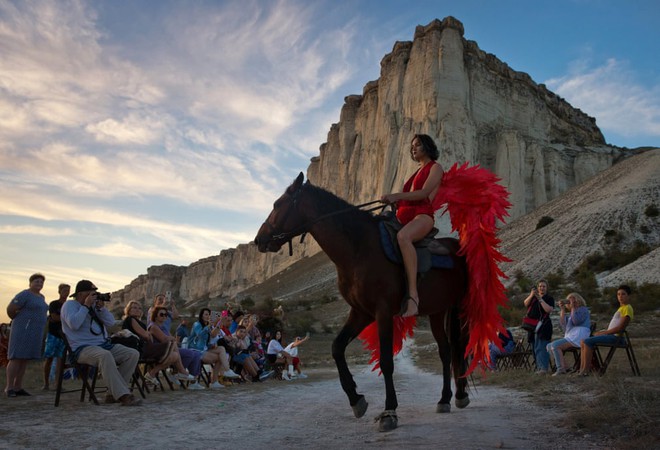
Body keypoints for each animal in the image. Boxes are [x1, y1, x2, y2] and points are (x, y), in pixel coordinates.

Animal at [255, 171, 476, 428]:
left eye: (277, 204)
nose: (259, 240)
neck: (358, 249)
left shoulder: (383, 312)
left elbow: (387, 362)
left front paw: (389, 411)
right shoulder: (360, 313)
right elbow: (337, 348)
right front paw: (356, 399)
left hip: (458, 306)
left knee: (458, 347)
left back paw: (459, 396)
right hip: (437, 311)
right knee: (446, 350)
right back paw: (446, 399)